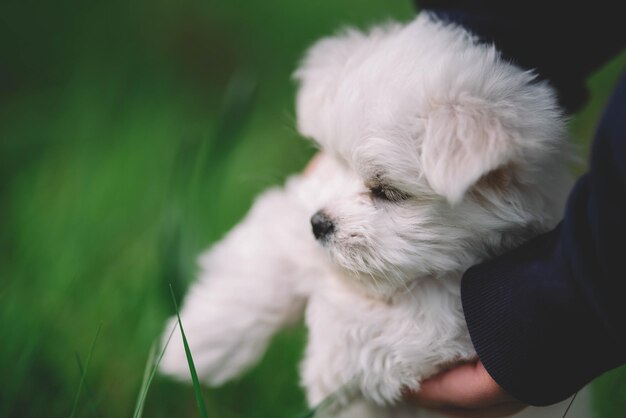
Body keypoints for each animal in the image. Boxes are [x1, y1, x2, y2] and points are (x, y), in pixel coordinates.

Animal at [160, 11, 572, 416]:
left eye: (387, 191)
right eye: (335, 160)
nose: (318, 224)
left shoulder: (456, 311)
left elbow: (390, 326)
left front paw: (326, 367)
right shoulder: (293, 214)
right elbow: (260, 270)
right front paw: (192, 342)